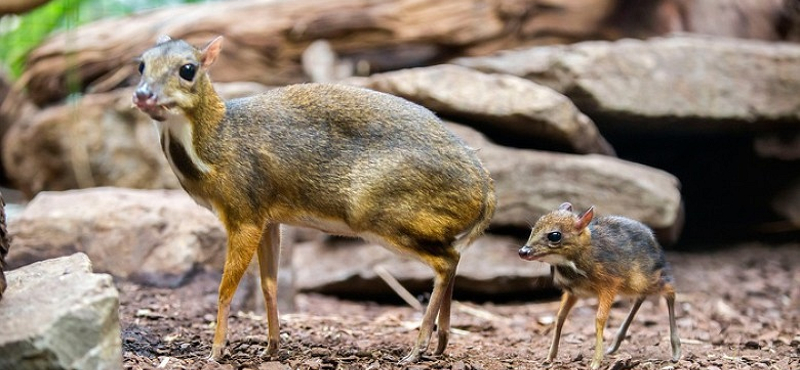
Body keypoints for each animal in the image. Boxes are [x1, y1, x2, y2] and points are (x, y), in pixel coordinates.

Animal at [131, 36, 494, 362]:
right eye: (141, 65)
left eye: (188, 69)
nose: (143, 95)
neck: (215, 145)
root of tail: (486, 187)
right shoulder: (268, 218)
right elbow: (269, 283)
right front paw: (271, 348)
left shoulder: (244, 213)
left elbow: (225, 289)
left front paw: (216, 351)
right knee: (454, 258)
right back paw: (441, 342)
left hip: (384, 216)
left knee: (445, 262)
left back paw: (418, 348)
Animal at [520, 204, 680, 368]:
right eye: (533, 229)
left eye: (554, 236)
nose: (523, 251)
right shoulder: (573, 292)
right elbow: (560, 317)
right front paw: (550, 357)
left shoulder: (609, 285)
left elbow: (600, 319)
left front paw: (595, 362)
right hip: (635, 285)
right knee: (641, 297)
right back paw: (614, 345)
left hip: (643, 280)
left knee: (670, 290)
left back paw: (676, 350)